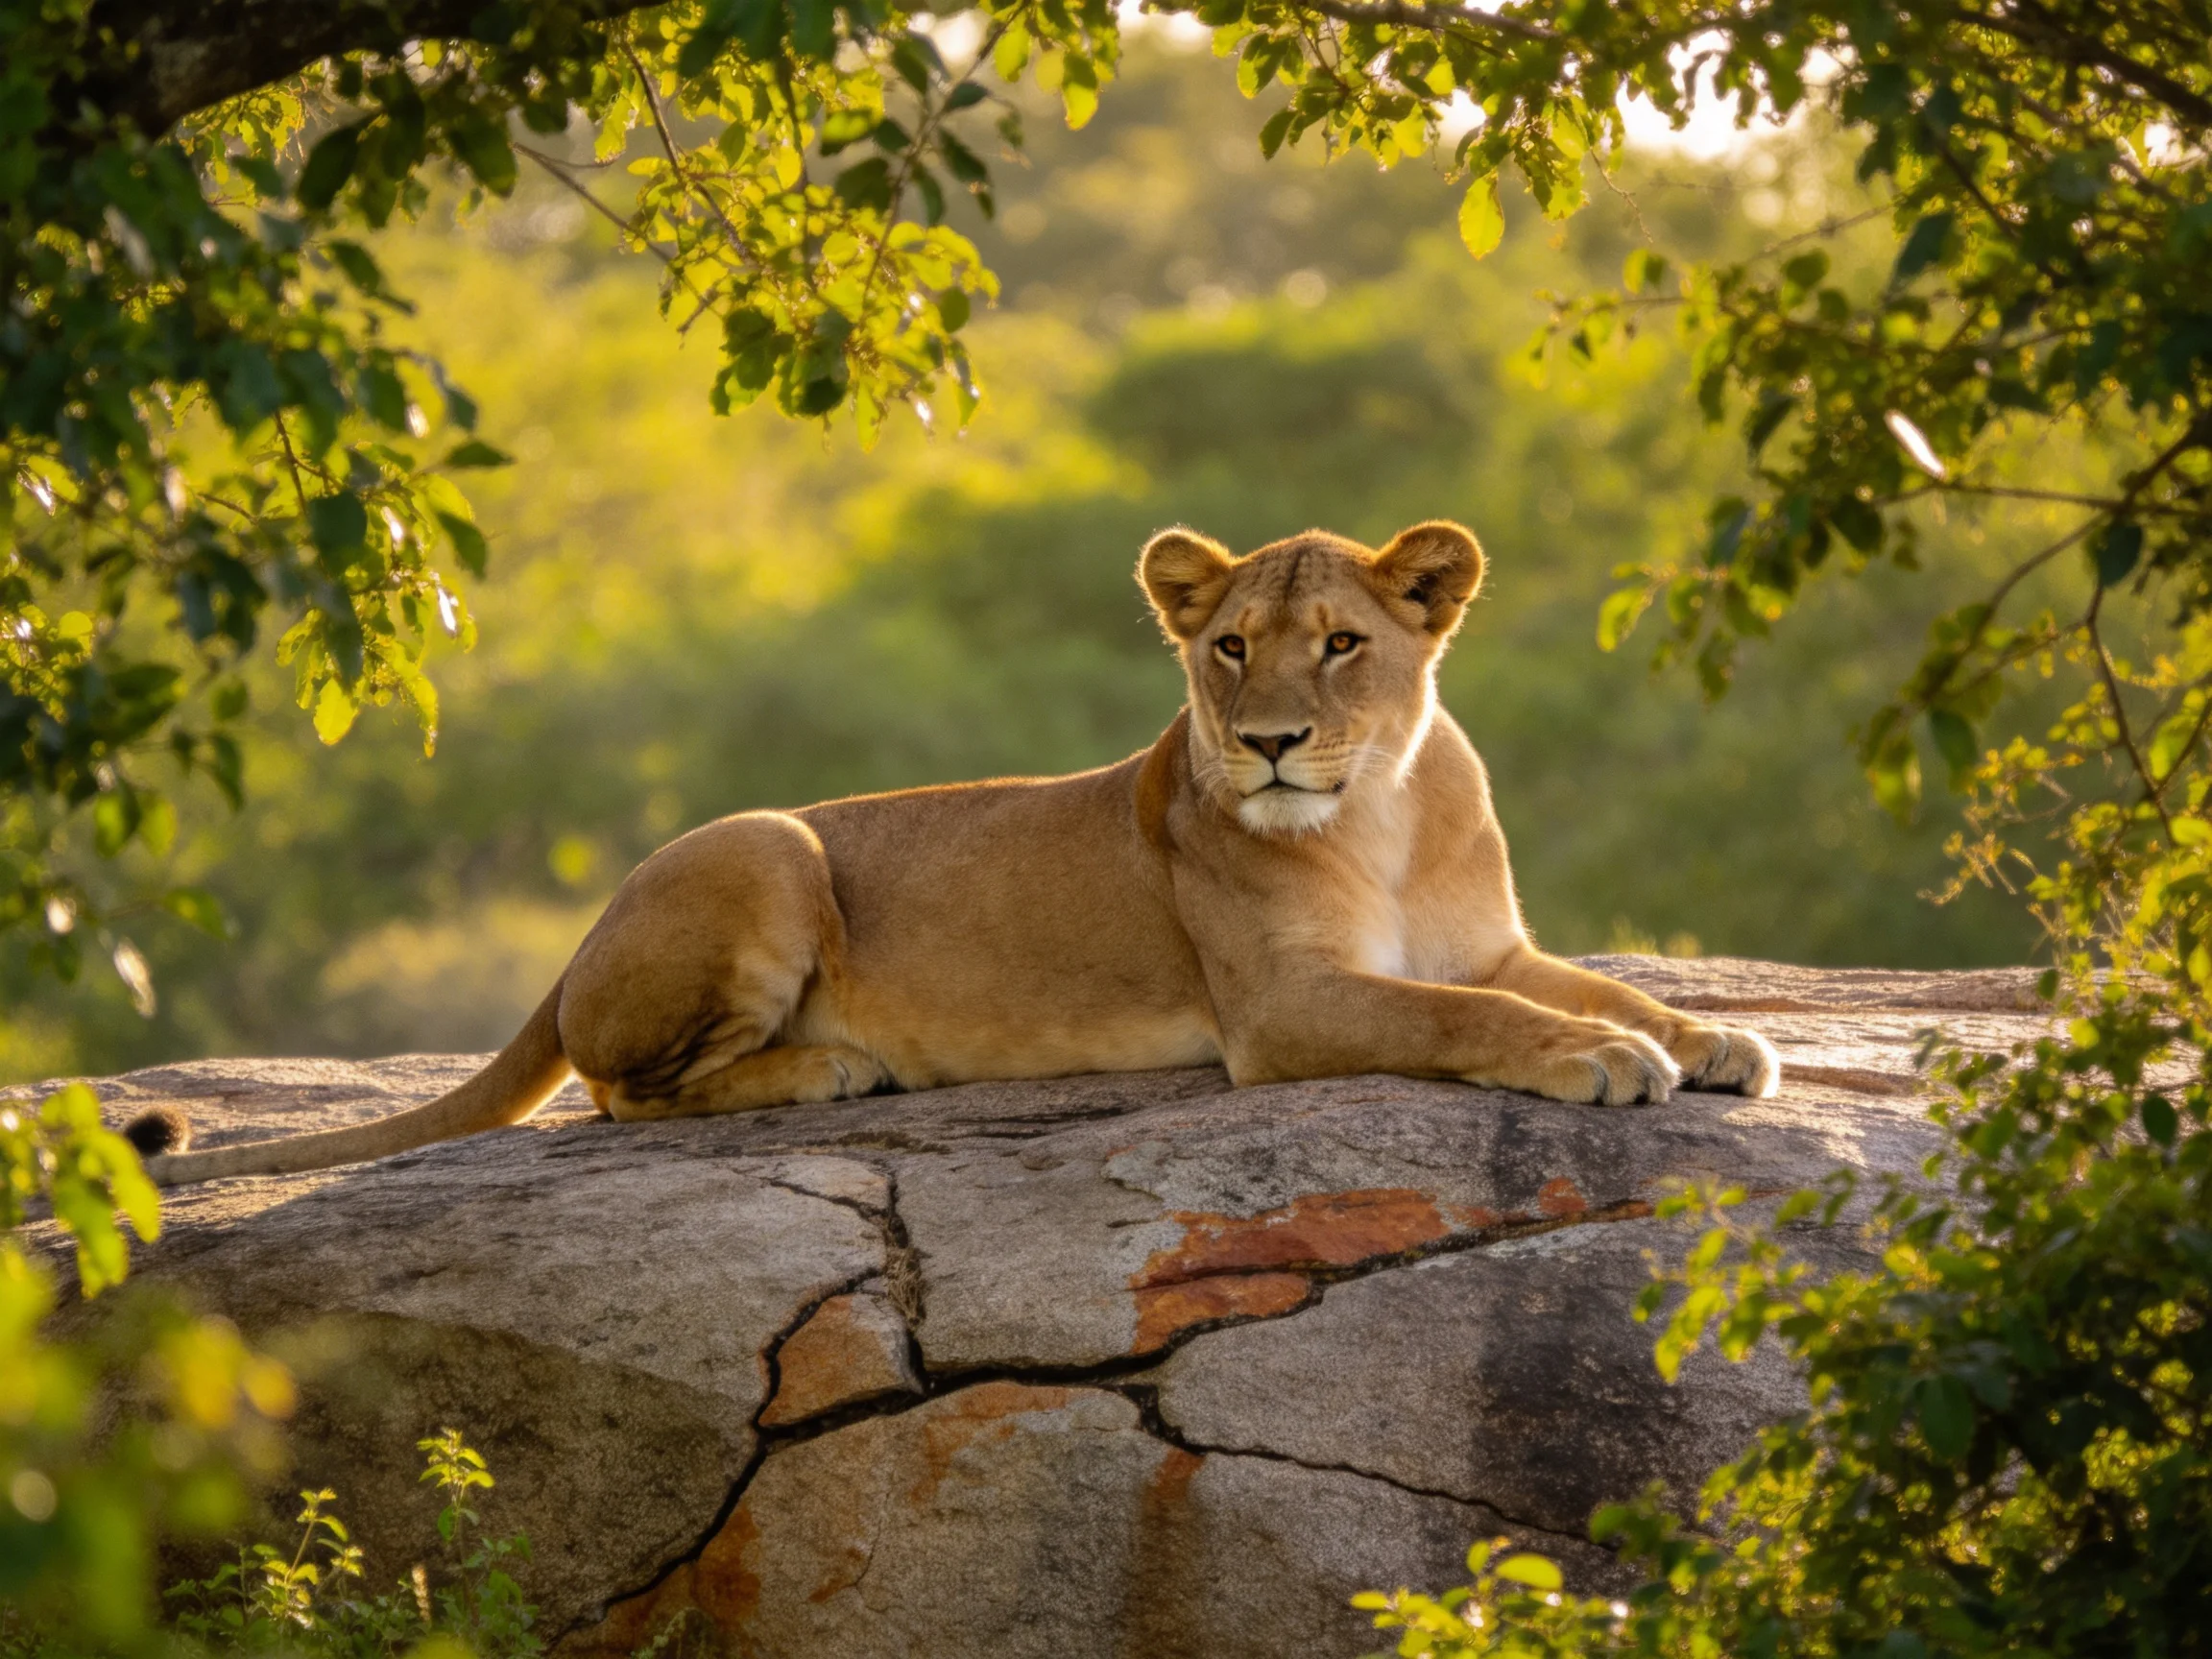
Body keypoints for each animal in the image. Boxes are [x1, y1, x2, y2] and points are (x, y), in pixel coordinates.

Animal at [130, 520, 1778, 1184]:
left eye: (1342, 647)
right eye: (1229, 648)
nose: (1268, 743)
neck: (1376, 807)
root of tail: (580, 935)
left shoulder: (1490, 938)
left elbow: (1598, 983)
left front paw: (1718, 1041)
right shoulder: (1281, 1011)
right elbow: (1471, 1019)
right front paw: (1597, 1062)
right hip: (765, 846)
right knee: (617, 1094)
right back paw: (829, 1071)